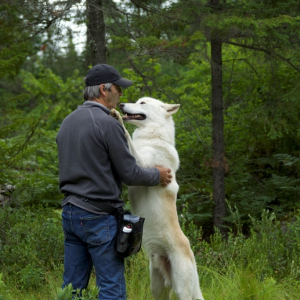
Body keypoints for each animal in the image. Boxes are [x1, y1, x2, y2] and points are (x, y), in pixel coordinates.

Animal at [112, 97, 204, 298]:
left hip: (182, 290)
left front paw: (117, 118)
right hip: (157, 288)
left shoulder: (141, 164)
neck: (152, 139)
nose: (121, 104)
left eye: (142, 103)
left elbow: (127, 137)